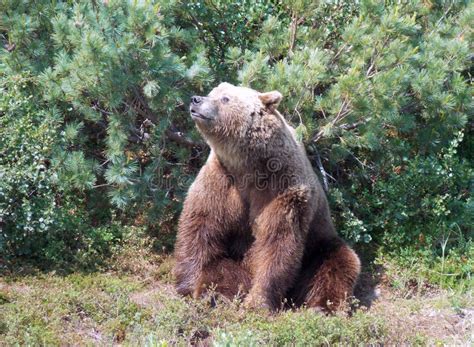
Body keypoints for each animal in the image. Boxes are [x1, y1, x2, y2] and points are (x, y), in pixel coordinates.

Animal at [172, 82, 362, 312]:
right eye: (212, 93)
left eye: (225, 98)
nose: (195, 99)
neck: (247, 165)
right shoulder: (220, 179)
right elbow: (201, 225)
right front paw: (187, 286)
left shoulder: (280, 186)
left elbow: (276, 241)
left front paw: (258, 302)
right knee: (223, 269)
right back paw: (216, 296)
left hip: (318, 244)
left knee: (338, 263)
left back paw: (322, 307)